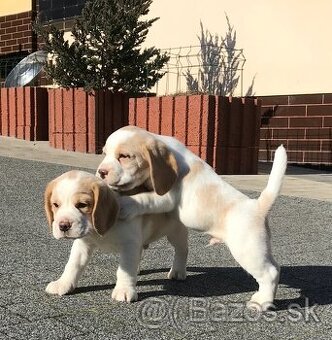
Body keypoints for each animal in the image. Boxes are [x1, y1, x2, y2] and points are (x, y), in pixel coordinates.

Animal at [43, 171, 188, 302]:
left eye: (82, 205)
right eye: (56, 205)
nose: (63, 225)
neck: (96, 232)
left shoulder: (129, 245)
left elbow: (125, 270)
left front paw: (124, 290)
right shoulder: (83, 244)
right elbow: (73, 264)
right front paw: (63, 283)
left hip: (176, 233)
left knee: (182, 250)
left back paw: (178, 271)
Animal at [96, 125, 288, 310]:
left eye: (124, 156)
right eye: (104, 154)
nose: (101, 172)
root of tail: (258, 206)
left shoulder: (166, 198)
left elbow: (144, 198)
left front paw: (125, 204)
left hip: (248, 251)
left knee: (270, 273)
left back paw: (262, 302)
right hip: (259, 249)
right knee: (276, 267)